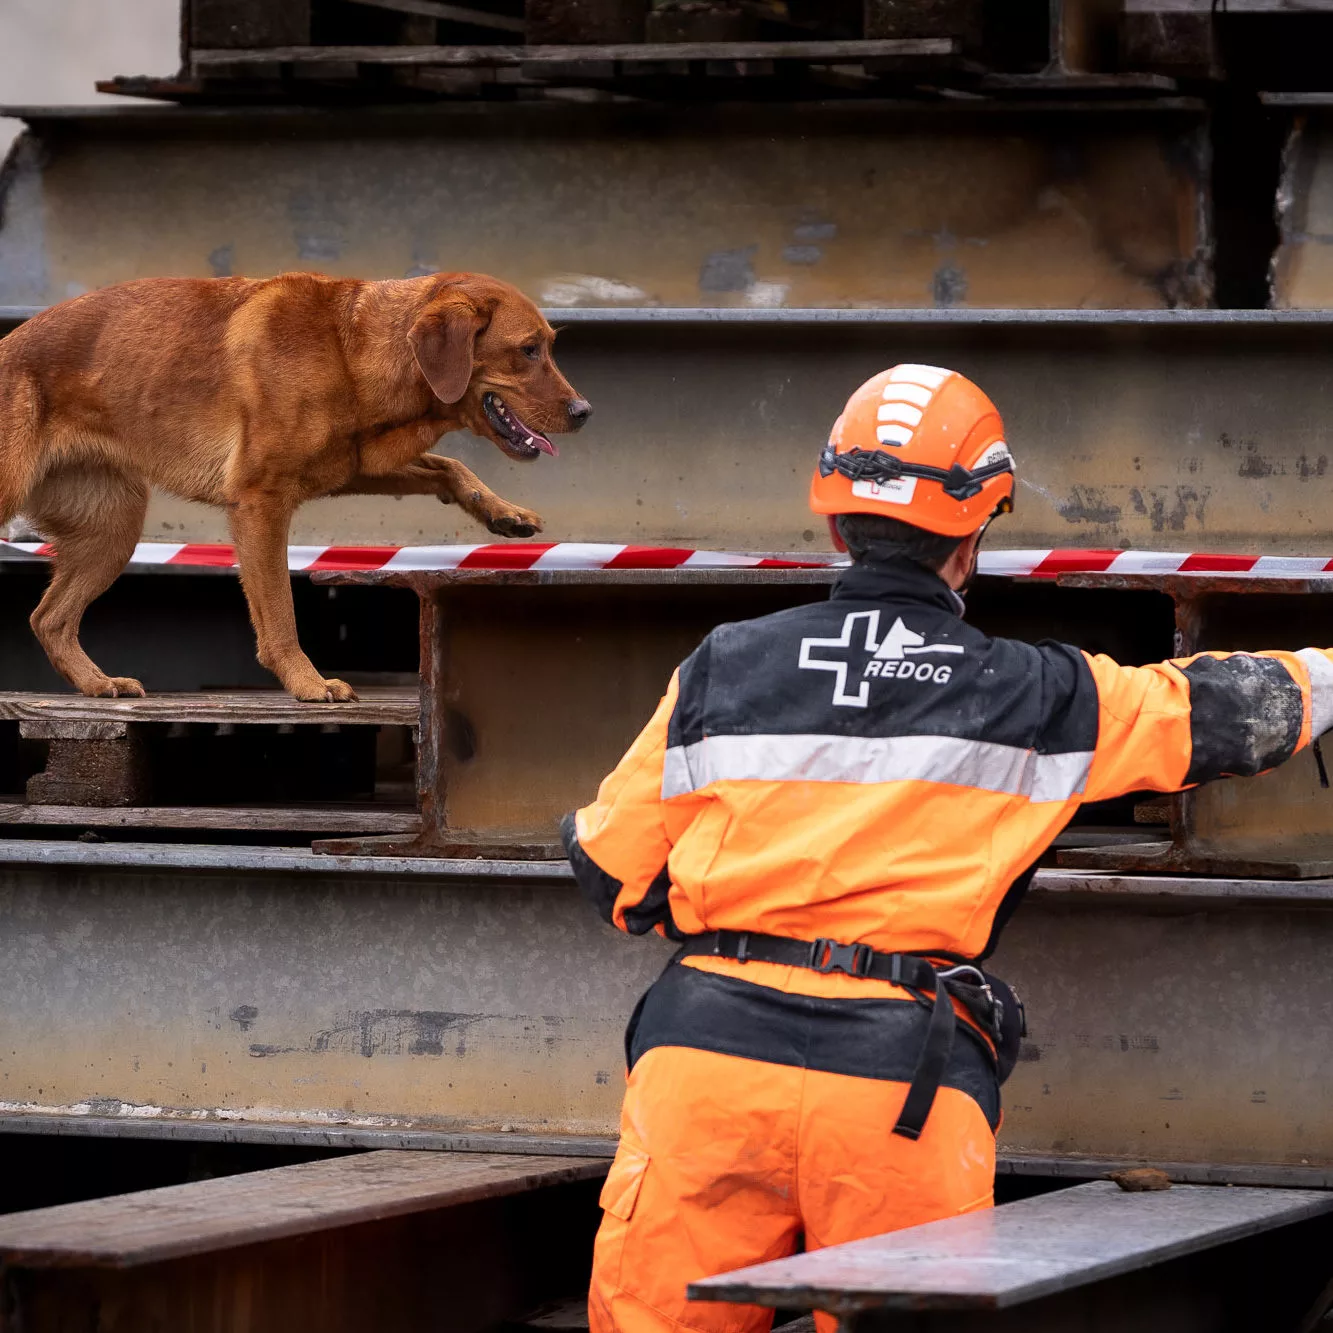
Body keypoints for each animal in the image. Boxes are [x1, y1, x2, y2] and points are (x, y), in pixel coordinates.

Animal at [0, 271, 589, 701]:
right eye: (529, 350)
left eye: (548, 346)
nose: (585, 411)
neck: (352, 348)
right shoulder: (260, 502)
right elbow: (280, 610)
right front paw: (308, 684)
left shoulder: (356, 464)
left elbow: (448, 467)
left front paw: (503, 512)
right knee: (48, 616)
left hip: (113, 529)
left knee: (49, 619)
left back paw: (98, 683)